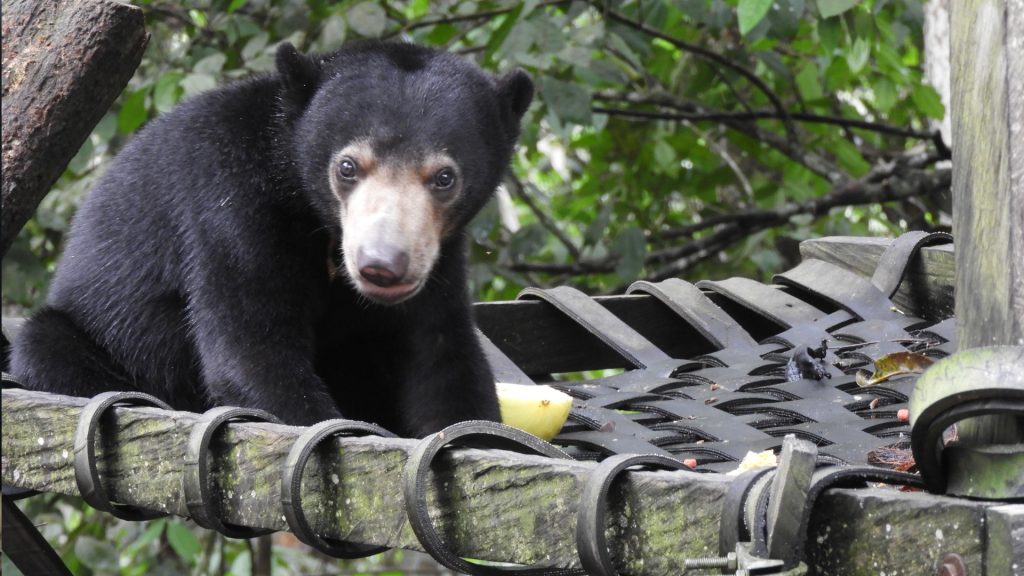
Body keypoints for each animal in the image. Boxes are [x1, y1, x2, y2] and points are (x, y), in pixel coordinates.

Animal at [9, 41, 536, 434]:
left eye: (445, 178)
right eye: (348, 167)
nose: (383, 266)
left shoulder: (439, 253)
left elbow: (441, 355)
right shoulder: (230, 205)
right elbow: (251, 344)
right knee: (48, 344)